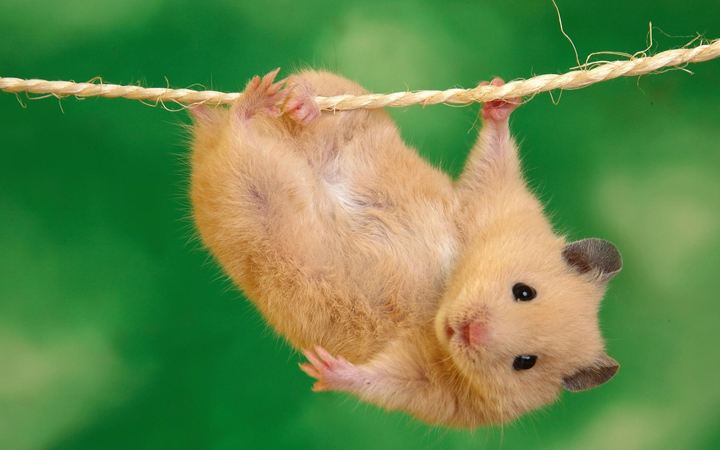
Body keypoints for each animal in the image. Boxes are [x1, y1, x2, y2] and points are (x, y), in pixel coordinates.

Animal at [189, 69, 622, 428]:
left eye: (525, 363)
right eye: (524, 291)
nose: (468, 331)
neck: (442, 297)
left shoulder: (435, 391)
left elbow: (382, 381)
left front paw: (322, 368)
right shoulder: (492, 203)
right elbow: (493, 160)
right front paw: (499, 95)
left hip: (247, 198)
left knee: (237, 139)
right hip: (353, 111)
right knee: (314, 94)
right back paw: (287, 100)